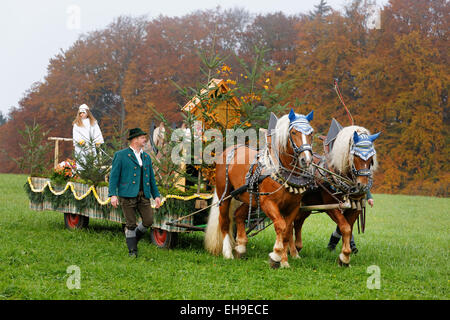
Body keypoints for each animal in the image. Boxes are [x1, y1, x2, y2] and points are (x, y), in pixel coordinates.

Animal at [292, 126, 380, 266]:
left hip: (306, 205)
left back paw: (297, 247)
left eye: (371, 158)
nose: (362, 185)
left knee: (298, 221)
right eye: (355, 156)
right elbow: (345, 228)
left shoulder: (354, 208)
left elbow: (347, 228)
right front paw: (344, 257)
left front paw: (344, 255)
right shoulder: (331, 207)